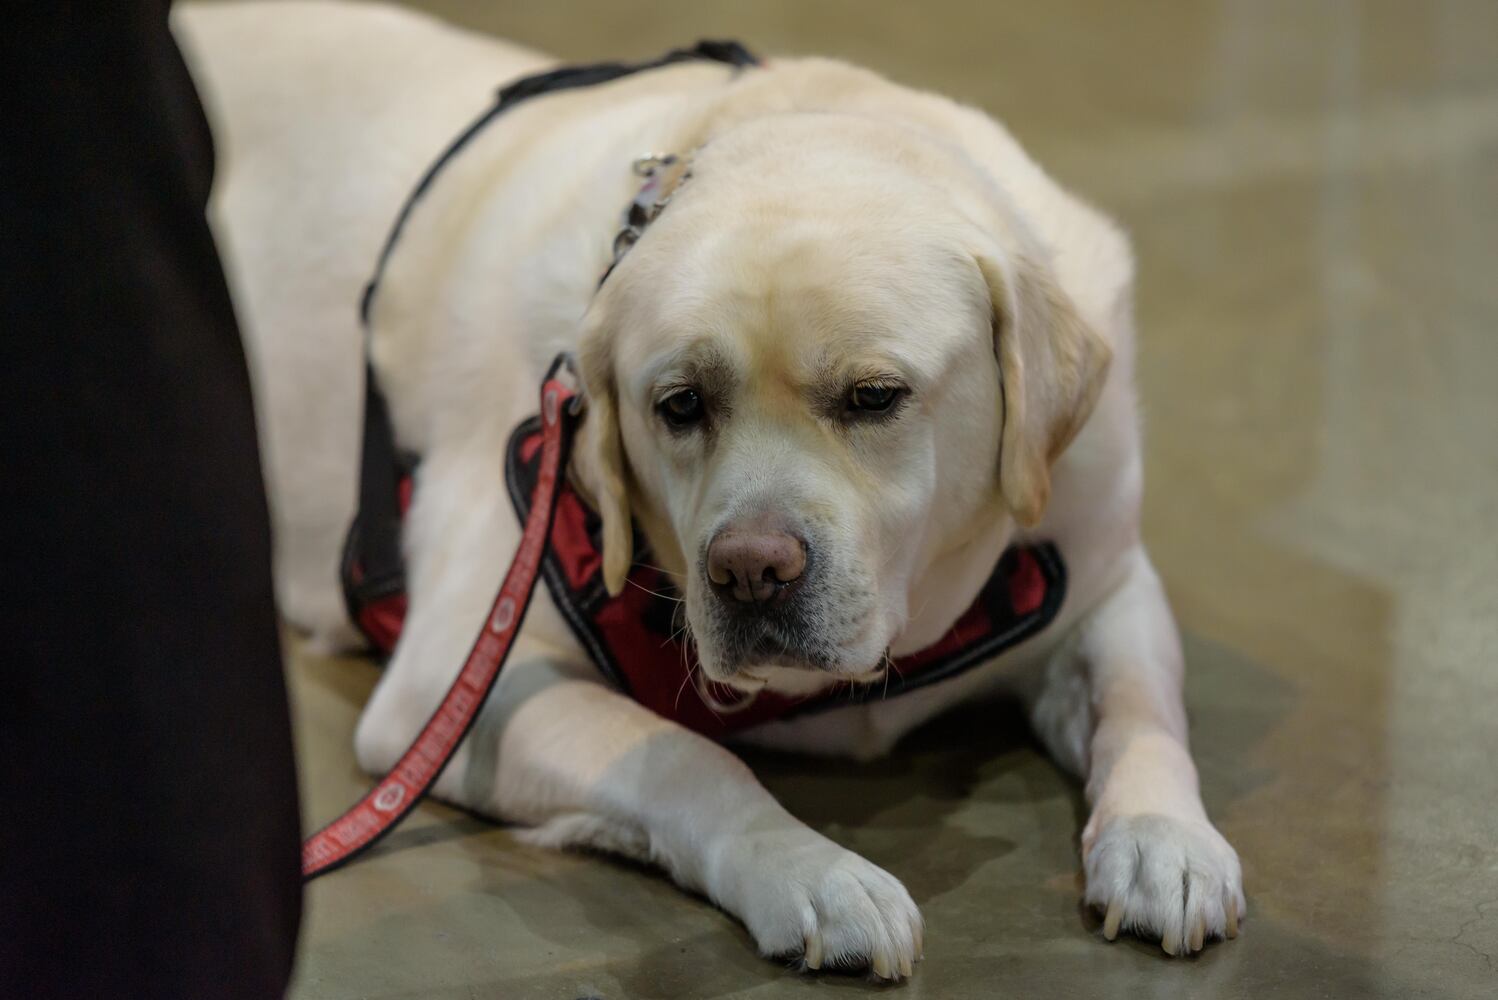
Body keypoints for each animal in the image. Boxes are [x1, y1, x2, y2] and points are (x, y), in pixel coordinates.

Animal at [181, 0, 1246, 970]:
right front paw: (814, 873)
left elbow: (1144, 707)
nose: (749, 572)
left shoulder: (1108, 575)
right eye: (680, 404)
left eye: (874, 396)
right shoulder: (457, 677)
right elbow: (688, 756)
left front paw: (1164, 841)